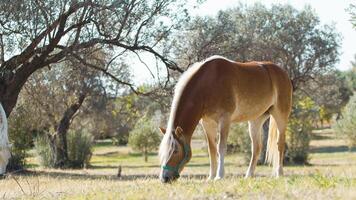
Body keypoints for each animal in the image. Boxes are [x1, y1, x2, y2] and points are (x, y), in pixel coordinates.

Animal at [159, 55, 292, 183]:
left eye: (175, 151)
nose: (165, 178)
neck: (208, 83)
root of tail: (283, 73)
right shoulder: (207, 123)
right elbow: (212, 150)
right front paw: (211, 176)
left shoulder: (224, 120)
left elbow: (221, 148)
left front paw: (219, 175)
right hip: (256, 120)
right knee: (256, 147)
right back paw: (249, 175)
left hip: (280, 115)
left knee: (280, 143)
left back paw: (279, 173)